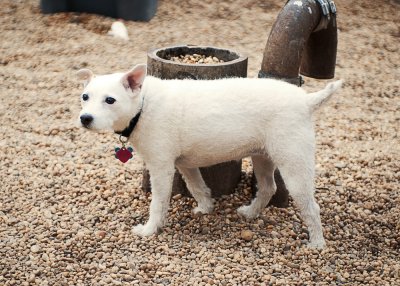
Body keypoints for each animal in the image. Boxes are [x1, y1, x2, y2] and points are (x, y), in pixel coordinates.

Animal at [76, 64, 342, 248]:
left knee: (311, 206)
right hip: (263, 157)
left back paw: (317, 243)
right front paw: (206, 207)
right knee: (268, 187)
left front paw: (150, 230)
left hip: (294, 165)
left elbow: (158, 203)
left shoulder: (161, 167)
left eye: (110, 100)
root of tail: (306, 101)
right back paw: (251, 213)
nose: (85, 118)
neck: (143, 104)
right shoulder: (184, 164)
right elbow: (197, 187)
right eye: (85, 97)